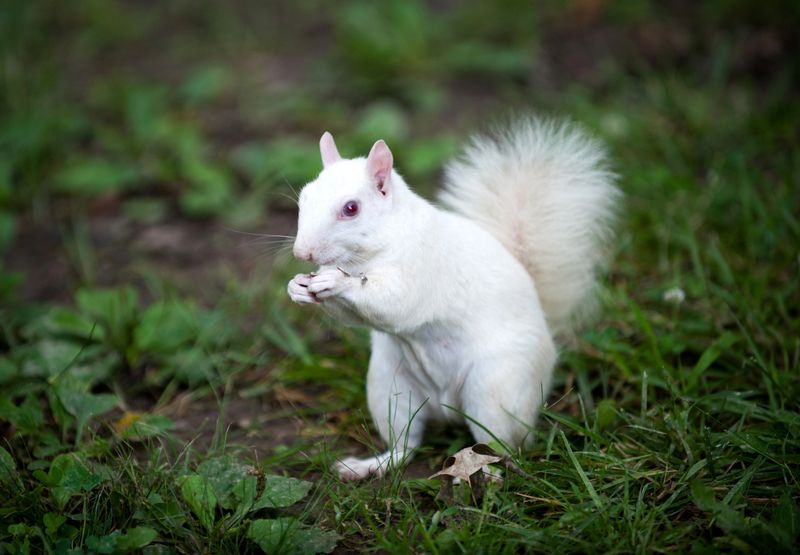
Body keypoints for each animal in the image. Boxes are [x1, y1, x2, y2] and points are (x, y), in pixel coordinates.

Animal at [287, 116, 620, 480]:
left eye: (351, 208)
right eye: (304, 197)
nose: (302, 252)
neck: (368, 254)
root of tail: (446, 408)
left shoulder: (423, 265)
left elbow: (394, 303)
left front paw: (336, 281)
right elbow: (351, 315)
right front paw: (297, 287)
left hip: (494, 390)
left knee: (504, 448)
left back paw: (483, 475)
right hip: (389, 389)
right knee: (405, 446)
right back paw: (368, 466)